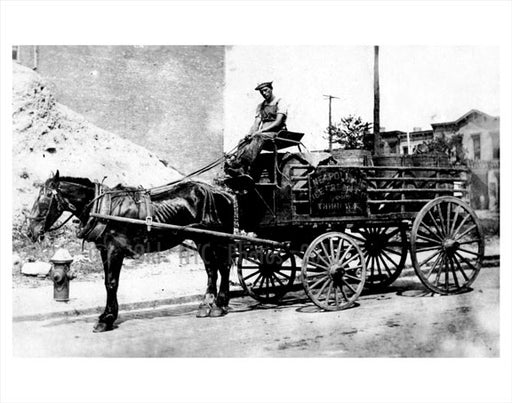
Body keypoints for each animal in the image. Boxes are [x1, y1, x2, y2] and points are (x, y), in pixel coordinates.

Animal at [26, 172, 236, 332]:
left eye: (45, 197)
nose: (31, 232)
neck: (106, 209)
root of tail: (222, 194)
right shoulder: (105, 250)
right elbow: (108, 282)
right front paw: (107, 315)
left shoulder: (114, 250)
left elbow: (111, 283)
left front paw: (107, 319)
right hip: (203, 240)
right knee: (214, 269)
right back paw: (212, 304)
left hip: (212, 239)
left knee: (221, 268)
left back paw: (218, 305)